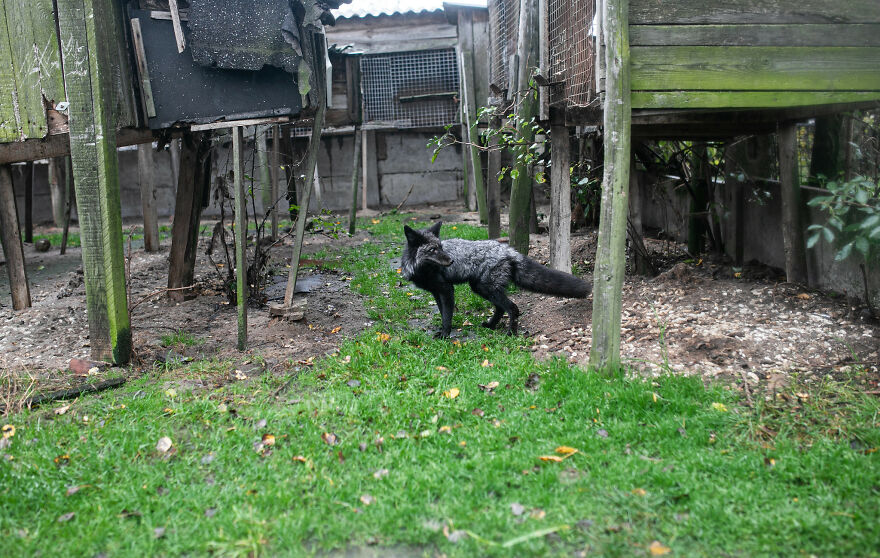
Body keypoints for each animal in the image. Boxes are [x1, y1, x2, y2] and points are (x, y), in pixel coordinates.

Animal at [401, 222, 590, 338]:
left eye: (440, 247)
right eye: (433, 250)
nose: (451, 261)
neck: (420, 268)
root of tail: (508, 250)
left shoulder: (446, 289)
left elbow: (447, 315)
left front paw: (445, 334)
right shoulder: (436, 292)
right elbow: (442, 312)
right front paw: (444, 331)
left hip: (485, 288)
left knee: (512, 308)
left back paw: (511, 334)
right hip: (482, 288)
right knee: (501, 308)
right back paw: (491, 325)